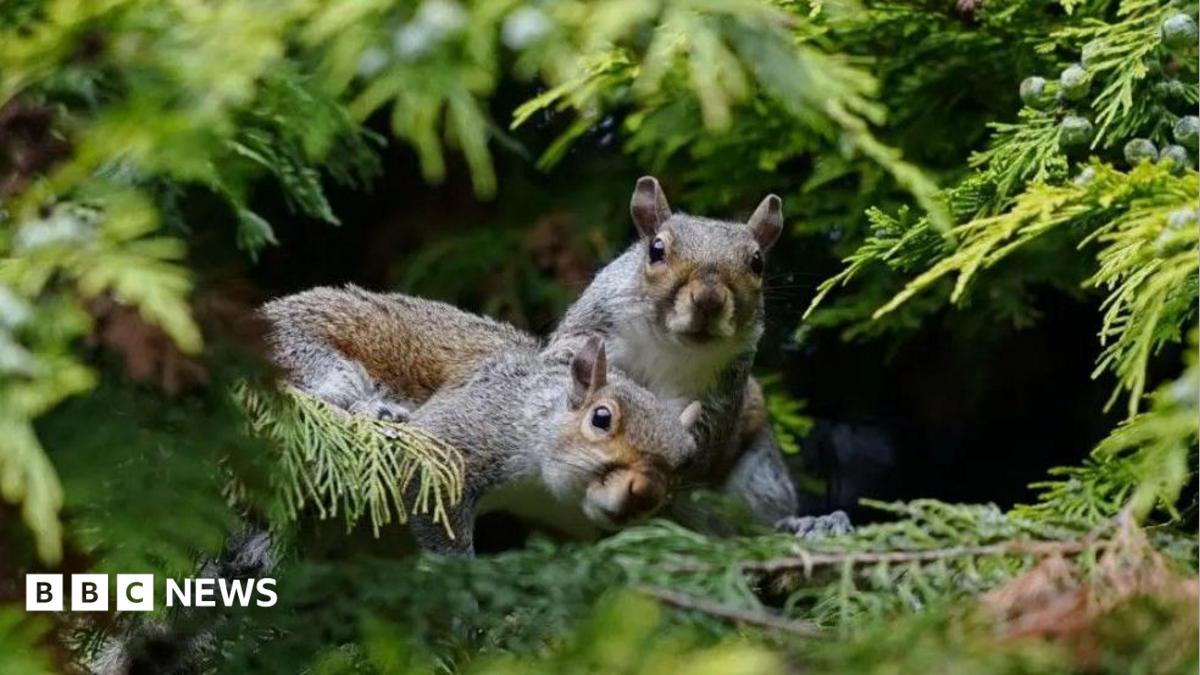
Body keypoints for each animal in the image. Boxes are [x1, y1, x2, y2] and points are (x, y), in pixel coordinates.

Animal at [262, 288, 703, 554]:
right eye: (601, 418)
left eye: (686, 461)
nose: (644, 493)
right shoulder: (466, 432)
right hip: (308, 356)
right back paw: (378, 411)